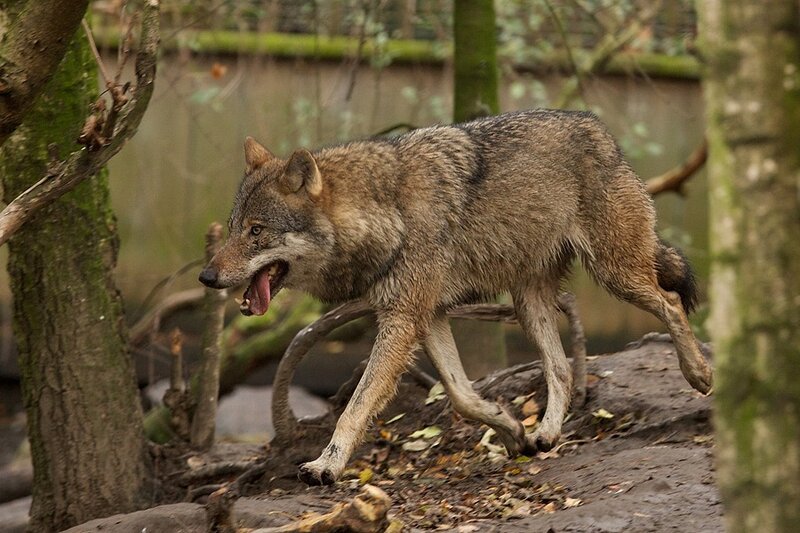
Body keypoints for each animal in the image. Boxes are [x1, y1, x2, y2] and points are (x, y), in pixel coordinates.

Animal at [199, 109, 713, 485]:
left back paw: (699, 373)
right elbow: (461, 394)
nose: (206, 276)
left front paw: (328, 464)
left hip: (615, 274)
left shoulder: (403, 318)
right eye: (233, 228)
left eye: (257, 231)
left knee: (669, 303)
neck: (388, 211)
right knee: (561, 366)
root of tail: (600, 129)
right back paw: (545, 433)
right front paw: (510, 429)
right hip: (529, 304)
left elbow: (356, 406)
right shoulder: (429, 314)